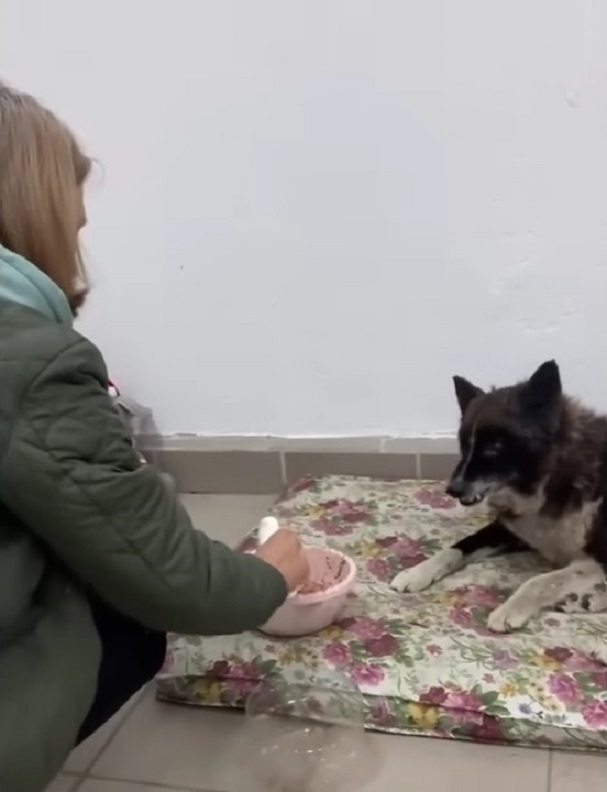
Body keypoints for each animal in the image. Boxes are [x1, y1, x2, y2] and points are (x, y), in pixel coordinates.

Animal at [392, 358, 607, 644]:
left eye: (494, 447)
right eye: (464, 444)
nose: (452, 490)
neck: (549, 480)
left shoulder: (595, 558)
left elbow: (541, 580)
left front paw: (508, 610)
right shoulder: (510, 530)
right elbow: (457, 547)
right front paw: (417, 572)